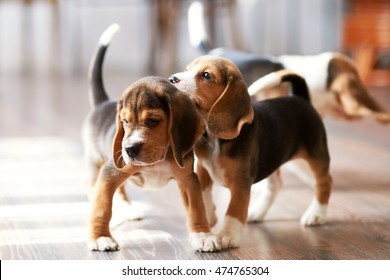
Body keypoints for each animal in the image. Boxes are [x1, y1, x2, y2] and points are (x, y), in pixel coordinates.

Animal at [82, 23, 219, 252]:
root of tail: (102, 103)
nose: (129, 149)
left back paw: (128, 209)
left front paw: (202, 235)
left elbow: (196, 208)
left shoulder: (188, 179)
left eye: (153, 121)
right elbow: (102, 207)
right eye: (125, 121)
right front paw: (100, 237)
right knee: (98, 192)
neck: (158, 159)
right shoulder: (110, 172)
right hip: (97, 166)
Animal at [170, 55, 332, 249]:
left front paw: (227, 235)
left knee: (324, 181)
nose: (172, 79)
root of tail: (300, 99)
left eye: (206, 75)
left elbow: (234, 210)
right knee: (275, 185)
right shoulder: (203, 167)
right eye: (186, 70)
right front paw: (209, 216)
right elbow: (204, 194)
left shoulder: (241, 182)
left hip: (314, 156)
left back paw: (316, 214)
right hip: (271, 158)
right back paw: (258, 212)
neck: (215, 138)